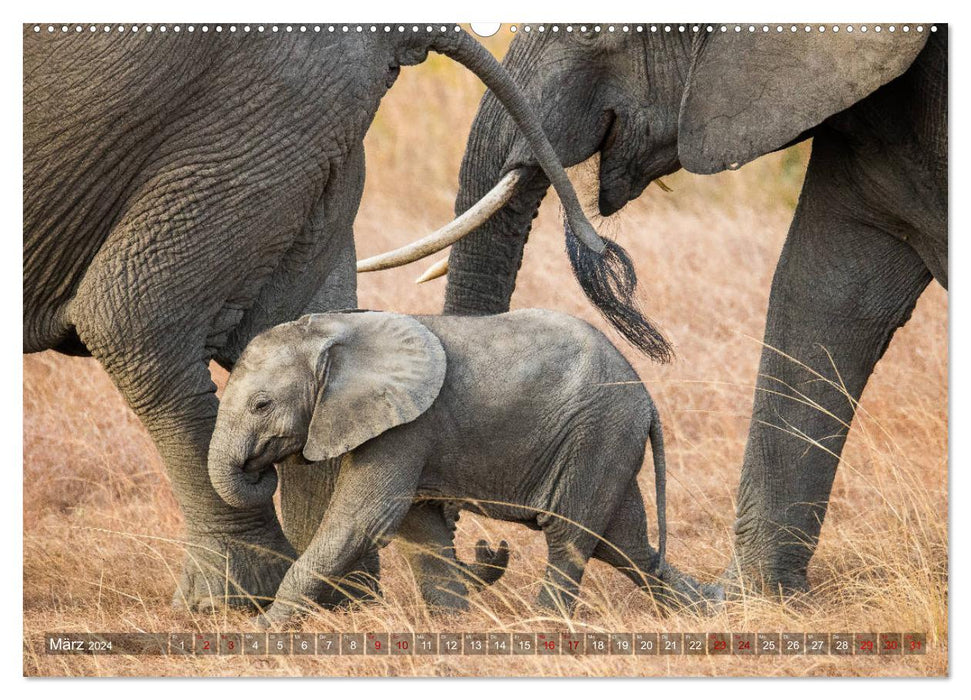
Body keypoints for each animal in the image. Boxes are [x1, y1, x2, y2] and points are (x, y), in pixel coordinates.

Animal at [207, 308, 720, 628]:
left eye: (261, 404)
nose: (260, 468)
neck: (335, 330)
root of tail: (647, 398)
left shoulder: (406, 426)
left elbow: (364, 521)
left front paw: (261, 629)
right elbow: (419, 530)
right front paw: (451, 623)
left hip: (596, 433)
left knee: (571, 536)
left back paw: (544, 623)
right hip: (609, 441)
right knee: (626, 545)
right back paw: (711, 606)